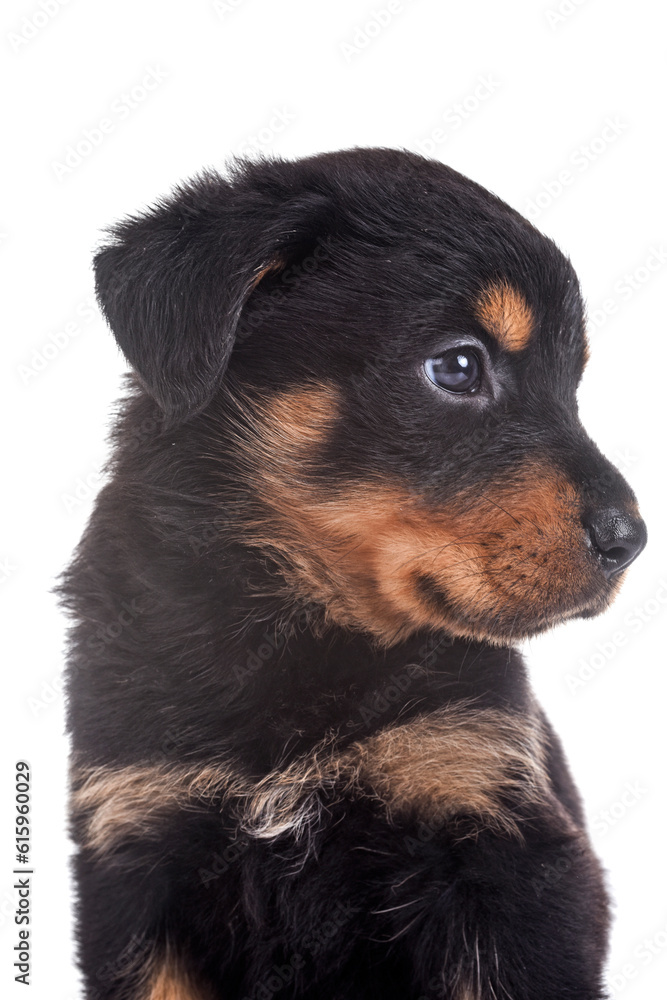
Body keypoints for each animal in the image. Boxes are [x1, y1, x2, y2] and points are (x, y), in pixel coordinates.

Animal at [61, 145, 648, 996]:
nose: (629, 537)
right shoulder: (136, 849)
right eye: (457, 366)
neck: (293, 630)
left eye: (570, 384)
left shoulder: (493, 830)